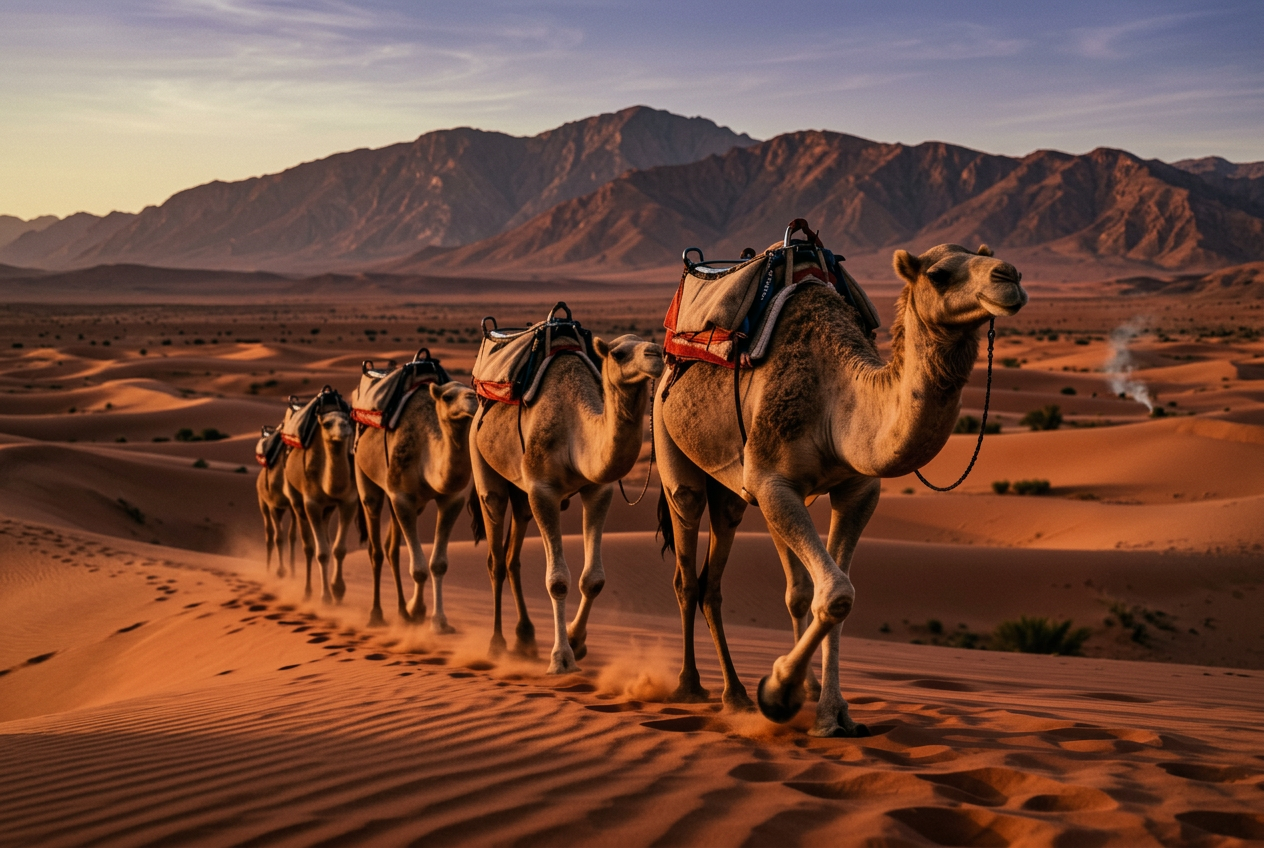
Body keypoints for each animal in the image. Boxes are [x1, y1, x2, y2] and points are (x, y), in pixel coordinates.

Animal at [283, 392, 360, 604]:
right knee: (308, 547)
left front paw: (338, 590)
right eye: (327, 424)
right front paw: (325, 597)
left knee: (324, 535)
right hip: (296, 499)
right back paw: (308, 591)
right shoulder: (312, 503)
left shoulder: (348, 502)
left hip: (328, 509)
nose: (344, 429)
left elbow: (338, 549)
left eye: (348, 420)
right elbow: (322, 553)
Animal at [355, 381, 478, 631]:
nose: (473, 398)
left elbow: (438, 564)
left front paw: (436, 620)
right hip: (363, 474)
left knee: (391, 549)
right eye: (448, 397)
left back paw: (403, 611)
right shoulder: (402, 497)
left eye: (472, 390)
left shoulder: (452, 499)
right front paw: (421, 611)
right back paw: (376, 614)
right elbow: (419, 569)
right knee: (376, 547)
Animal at [470, 334, 664, 672]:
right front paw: (561, 658)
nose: (657, 353)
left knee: (512, 557)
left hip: (521, 497)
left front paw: (577, 641)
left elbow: (594, 580)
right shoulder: (542, 491)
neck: (576, 433)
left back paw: (526, 638)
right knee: (495, 555)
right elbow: (558, 581)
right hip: (482, 464)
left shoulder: (598, 490)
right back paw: (496, 644)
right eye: (619, 353)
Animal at [655, 243, 1026, 736]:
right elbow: (836, 594)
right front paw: (778, 691)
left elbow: (835, 599)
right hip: (671, 446)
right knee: (686, 568)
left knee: (718, 580)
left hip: (733, 492)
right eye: (940, 274)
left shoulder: (855, 491)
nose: (1010, 276)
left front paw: (833, 713)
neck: (838, 403)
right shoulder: (772, 479)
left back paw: (736, 694)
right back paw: (692, 688)